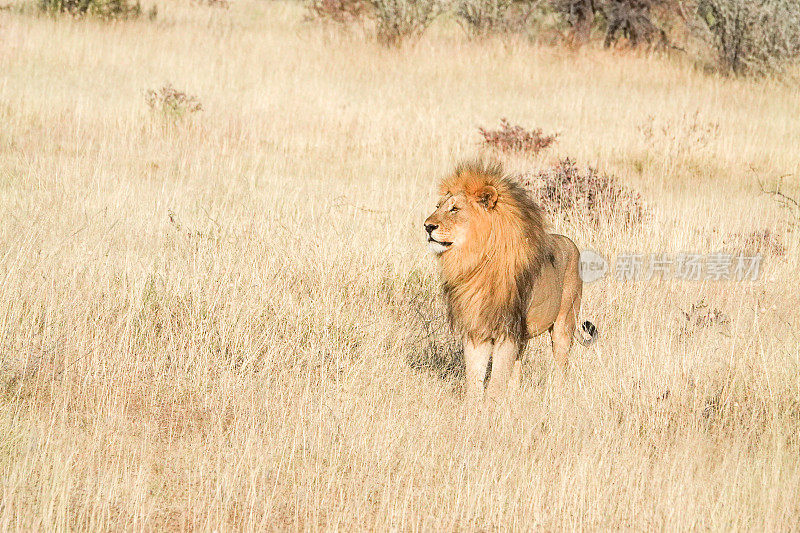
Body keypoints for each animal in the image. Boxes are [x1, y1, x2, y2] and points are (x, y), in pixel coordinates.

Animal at [424, 160, 592, 406]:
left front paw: (491, 409)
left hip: (564, 323)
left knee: (562, 366)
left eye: (454, 209)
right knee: (518, 368)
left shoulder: (507, 331)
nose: (427, 226)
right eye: (438, 206)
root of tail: (570, 242)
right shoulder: (477, 329)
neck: (475, 264)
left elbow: (496, 379)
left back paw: (558, 398)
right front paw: (472, 409)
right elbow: (475, 376)